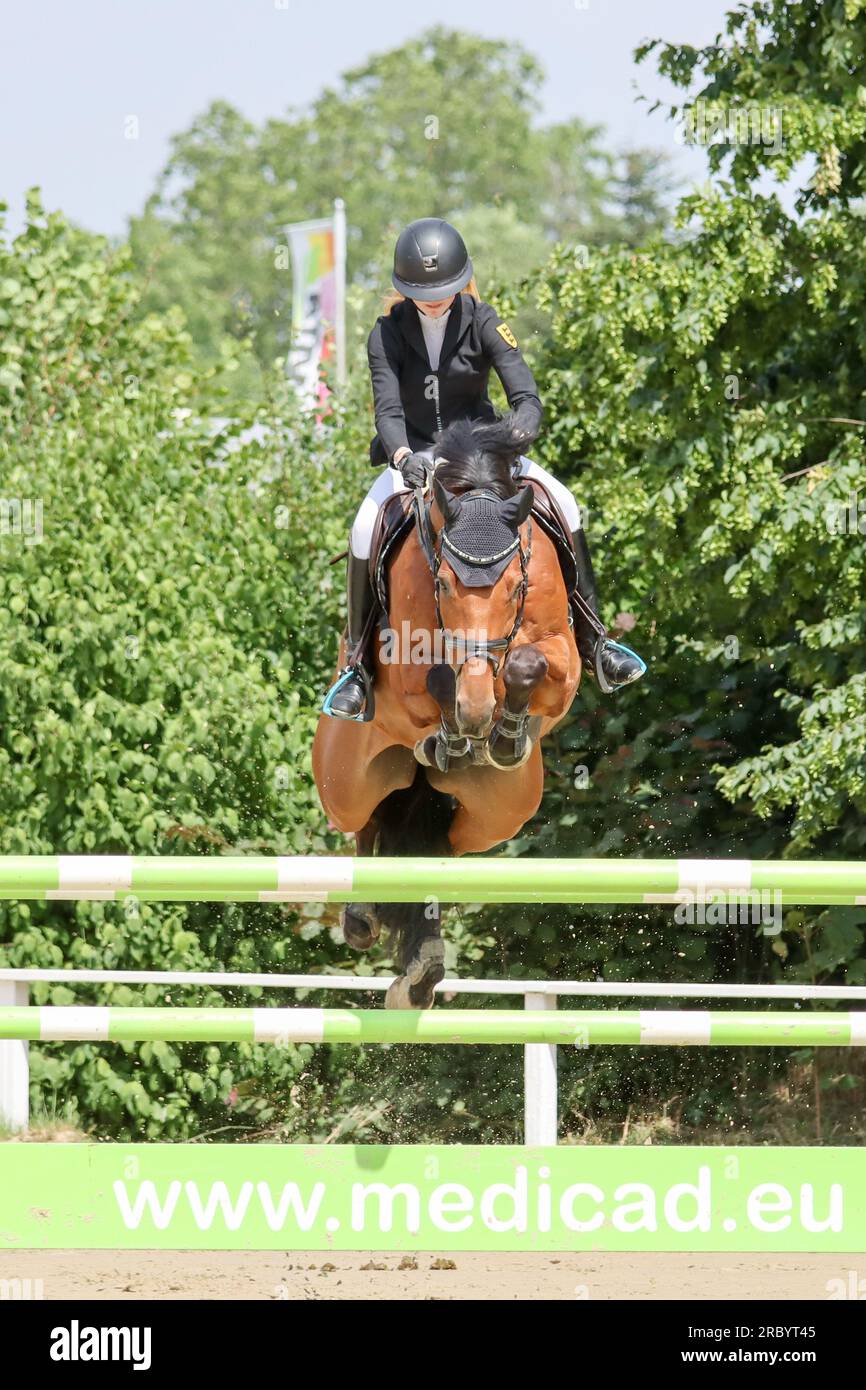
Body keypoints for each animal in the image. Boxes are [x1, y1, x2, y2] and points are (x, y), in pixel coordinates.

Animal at [312, 417, 583, 1006]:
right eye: (441, 583)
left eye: (515, 584)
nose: (477, 709)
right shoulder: (405, 672)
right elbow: (437, 677)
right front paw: (455, 732)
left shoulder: (564, 661)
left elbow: (529, 662)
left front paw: (502, 734)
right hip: (346, 784)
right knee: (367, 820)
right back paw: (363, 918)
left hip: (500, 815)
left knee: (434, 846)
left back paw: (421, 968)